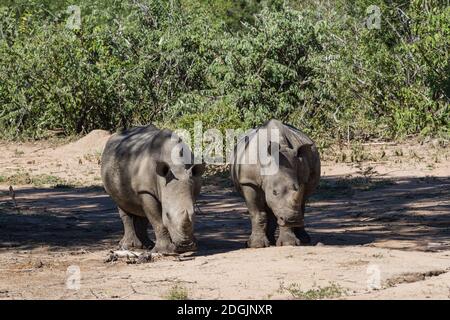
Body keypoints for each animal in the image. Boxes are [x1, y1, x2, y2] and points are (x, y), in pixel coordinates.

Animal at [232, 120, 320, 248]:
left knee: (301, 205)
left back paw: (303, 240)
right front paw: (256, 245)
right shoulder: (249, 182)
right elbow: (257, 213)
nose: (292, 220)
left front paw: (288, 243)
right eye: (274, 192)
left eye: (296, 188)